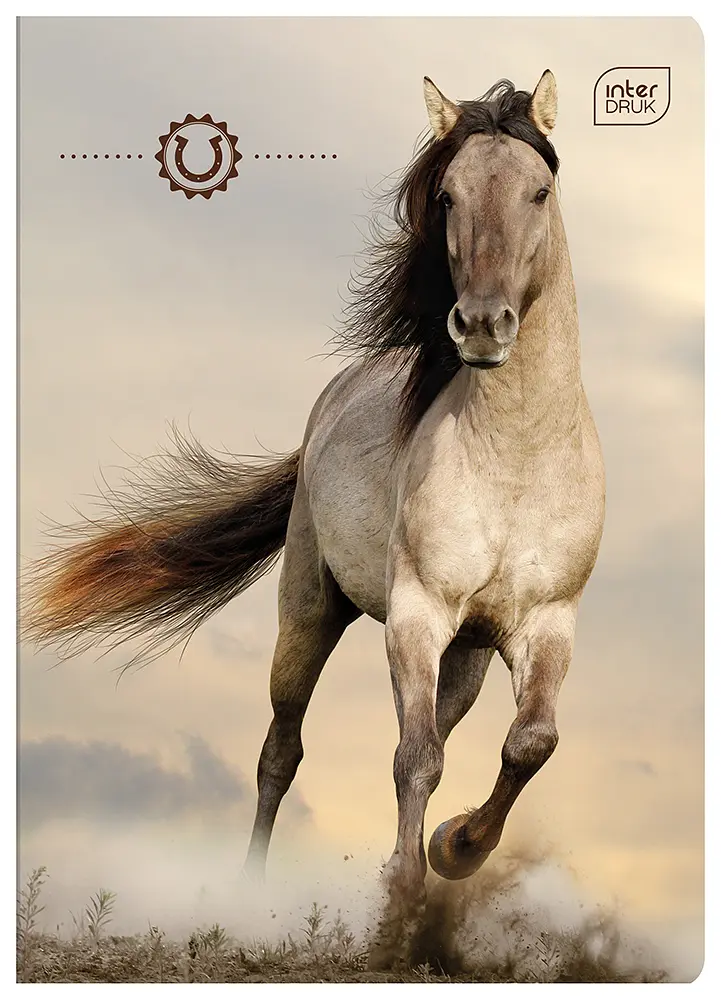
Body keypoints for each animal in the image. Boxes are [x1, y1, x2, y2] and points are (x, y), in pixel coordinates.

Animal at [23, 70, 605, 964]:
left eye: (538, 192)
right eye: (447, 195)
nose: (479, 325)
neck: (518, 456)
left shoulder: (544, 623)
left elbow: (527, 743)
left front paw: (455, 848)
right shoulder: (416, 615)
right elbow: (414, 758)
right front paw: (397, 909)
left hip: (468, 655)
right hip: (309, 609)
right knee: (281, 751)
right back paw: (249, 901)